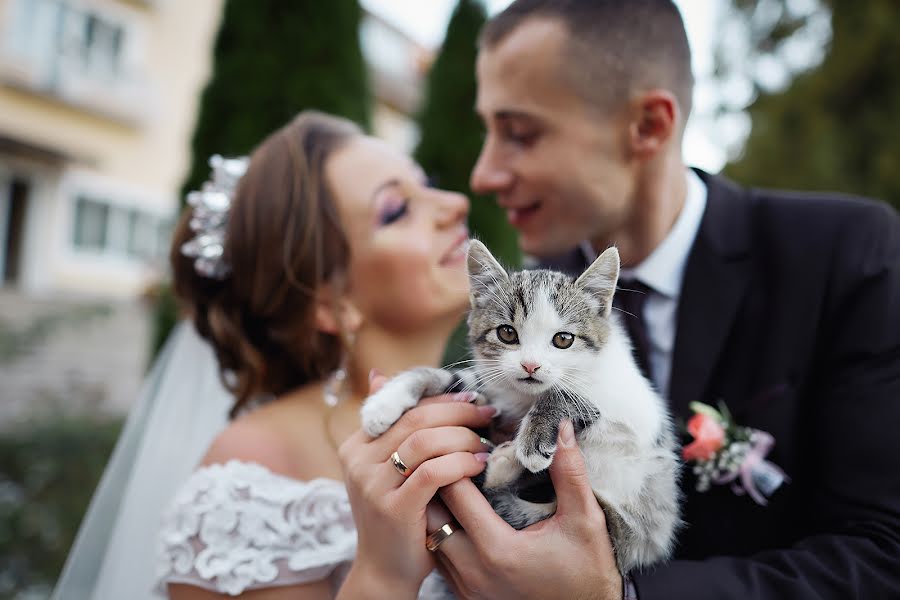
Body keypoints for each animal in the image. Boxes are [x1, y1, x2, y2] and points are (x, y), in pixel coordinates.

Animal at [362, 239, 680, 572]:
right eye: (507, 333)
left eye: (564, 339)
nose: (531, 365)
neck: (524, 397)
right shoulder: (492, 385)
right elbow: (454, 379)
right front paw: (383, 403)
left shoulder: (635, 407)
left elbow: (573, 395)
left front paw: (533, 438)